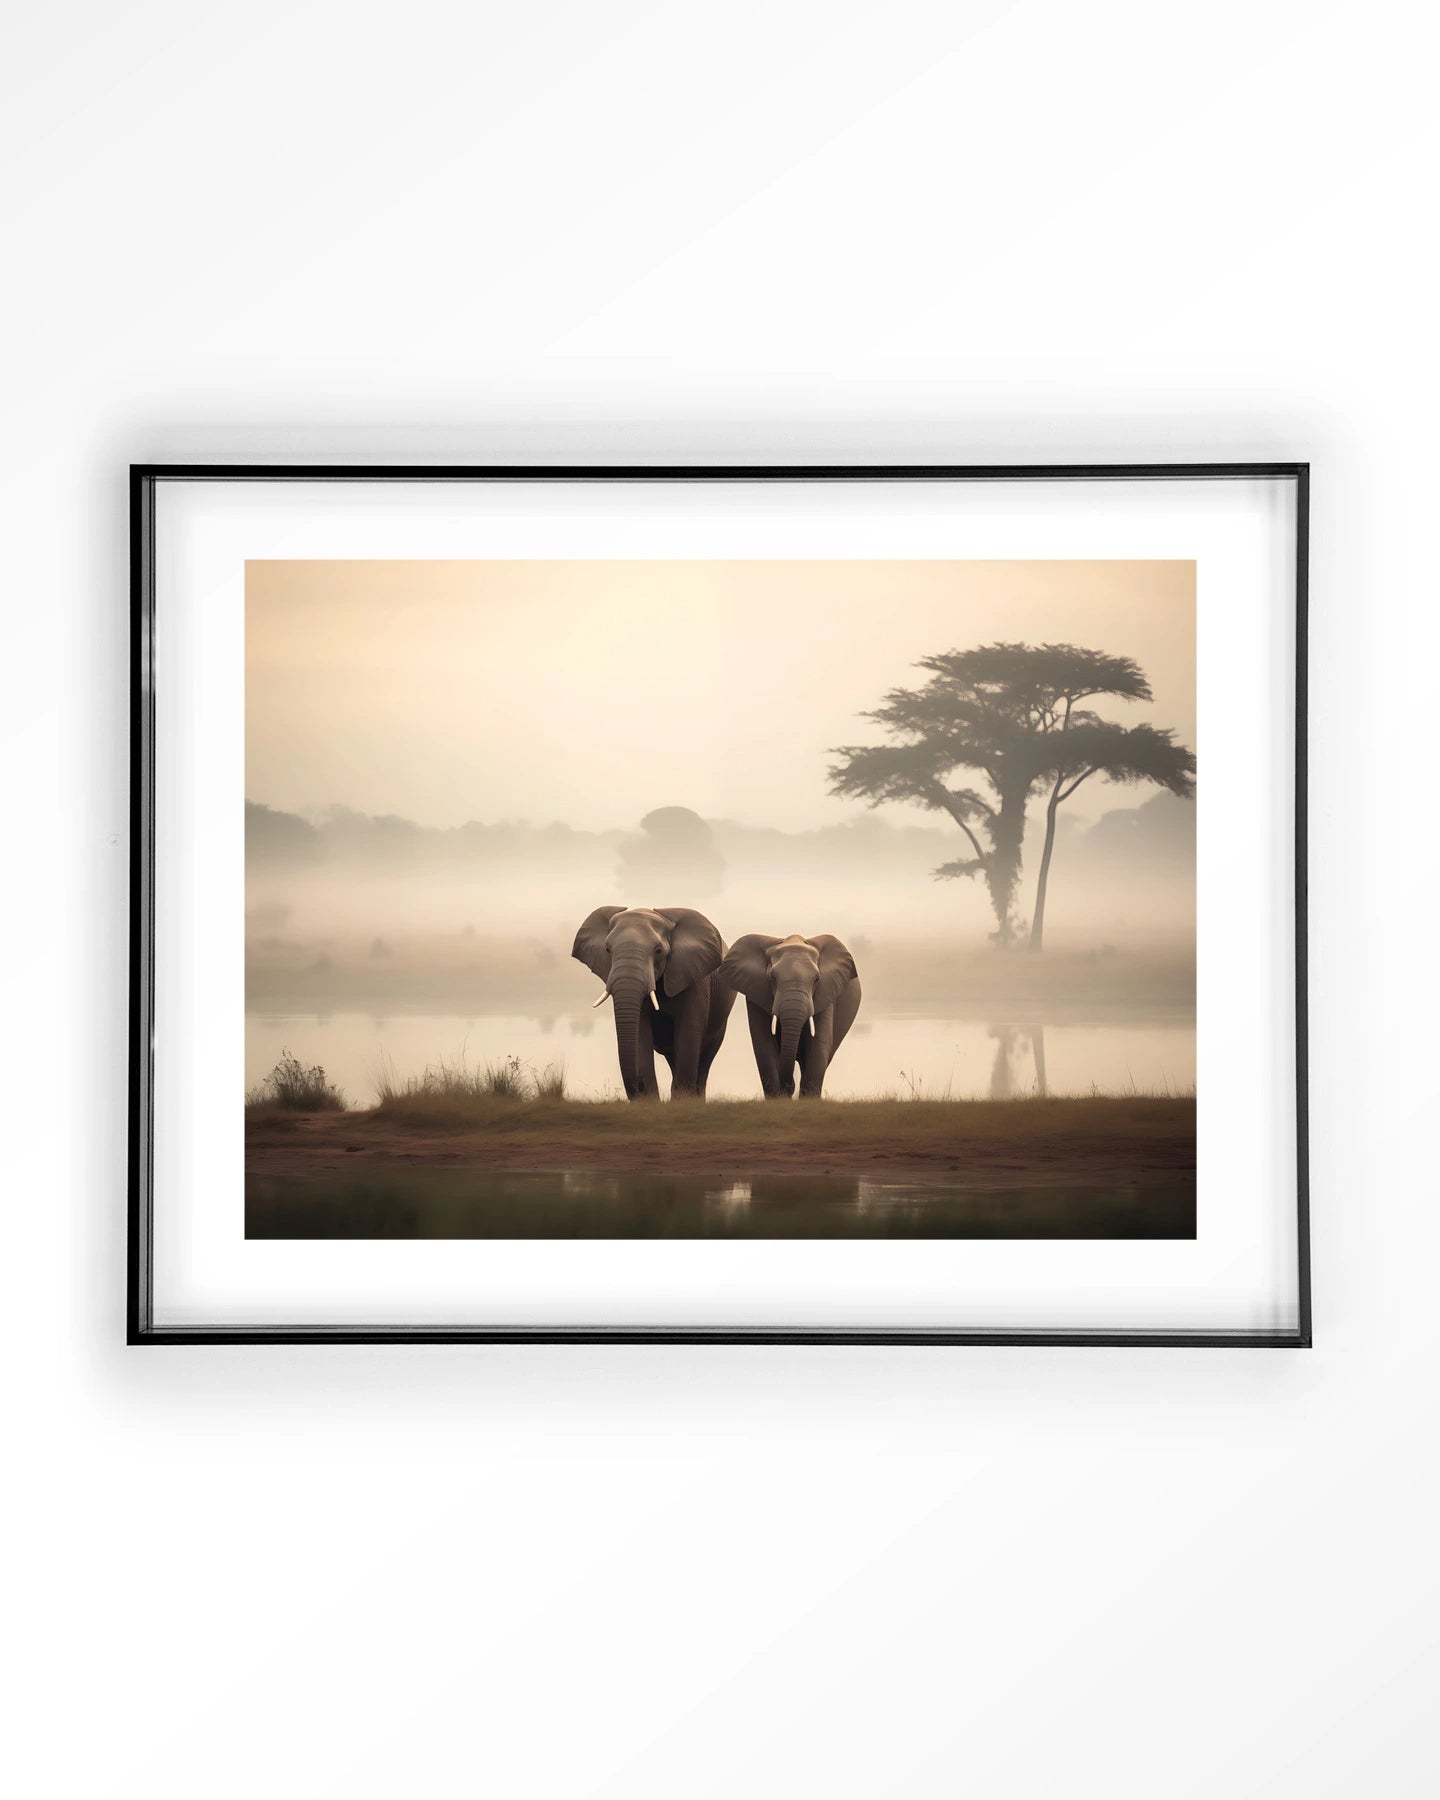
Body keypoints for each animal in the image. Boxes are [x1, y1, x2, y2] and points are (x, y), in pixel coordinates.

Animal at [572, 905, 736, 1100]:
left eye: (658, 951)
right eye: (607, 949)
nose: (638, 1085)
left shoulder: (695, 978)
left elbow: (688, 1032)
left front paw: (682, 1101)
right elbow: (640, 1034)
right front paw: (649, 1100)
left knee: (704, 1061)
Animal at [718, 933, 861, 1099]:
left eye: (817, 979)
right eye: (772, 978)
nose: (788, 1088)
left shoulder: (826, 991)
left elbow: (819, 1044)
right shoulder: (755, 992)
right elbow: (763, 1044)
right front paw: (778, 1098)